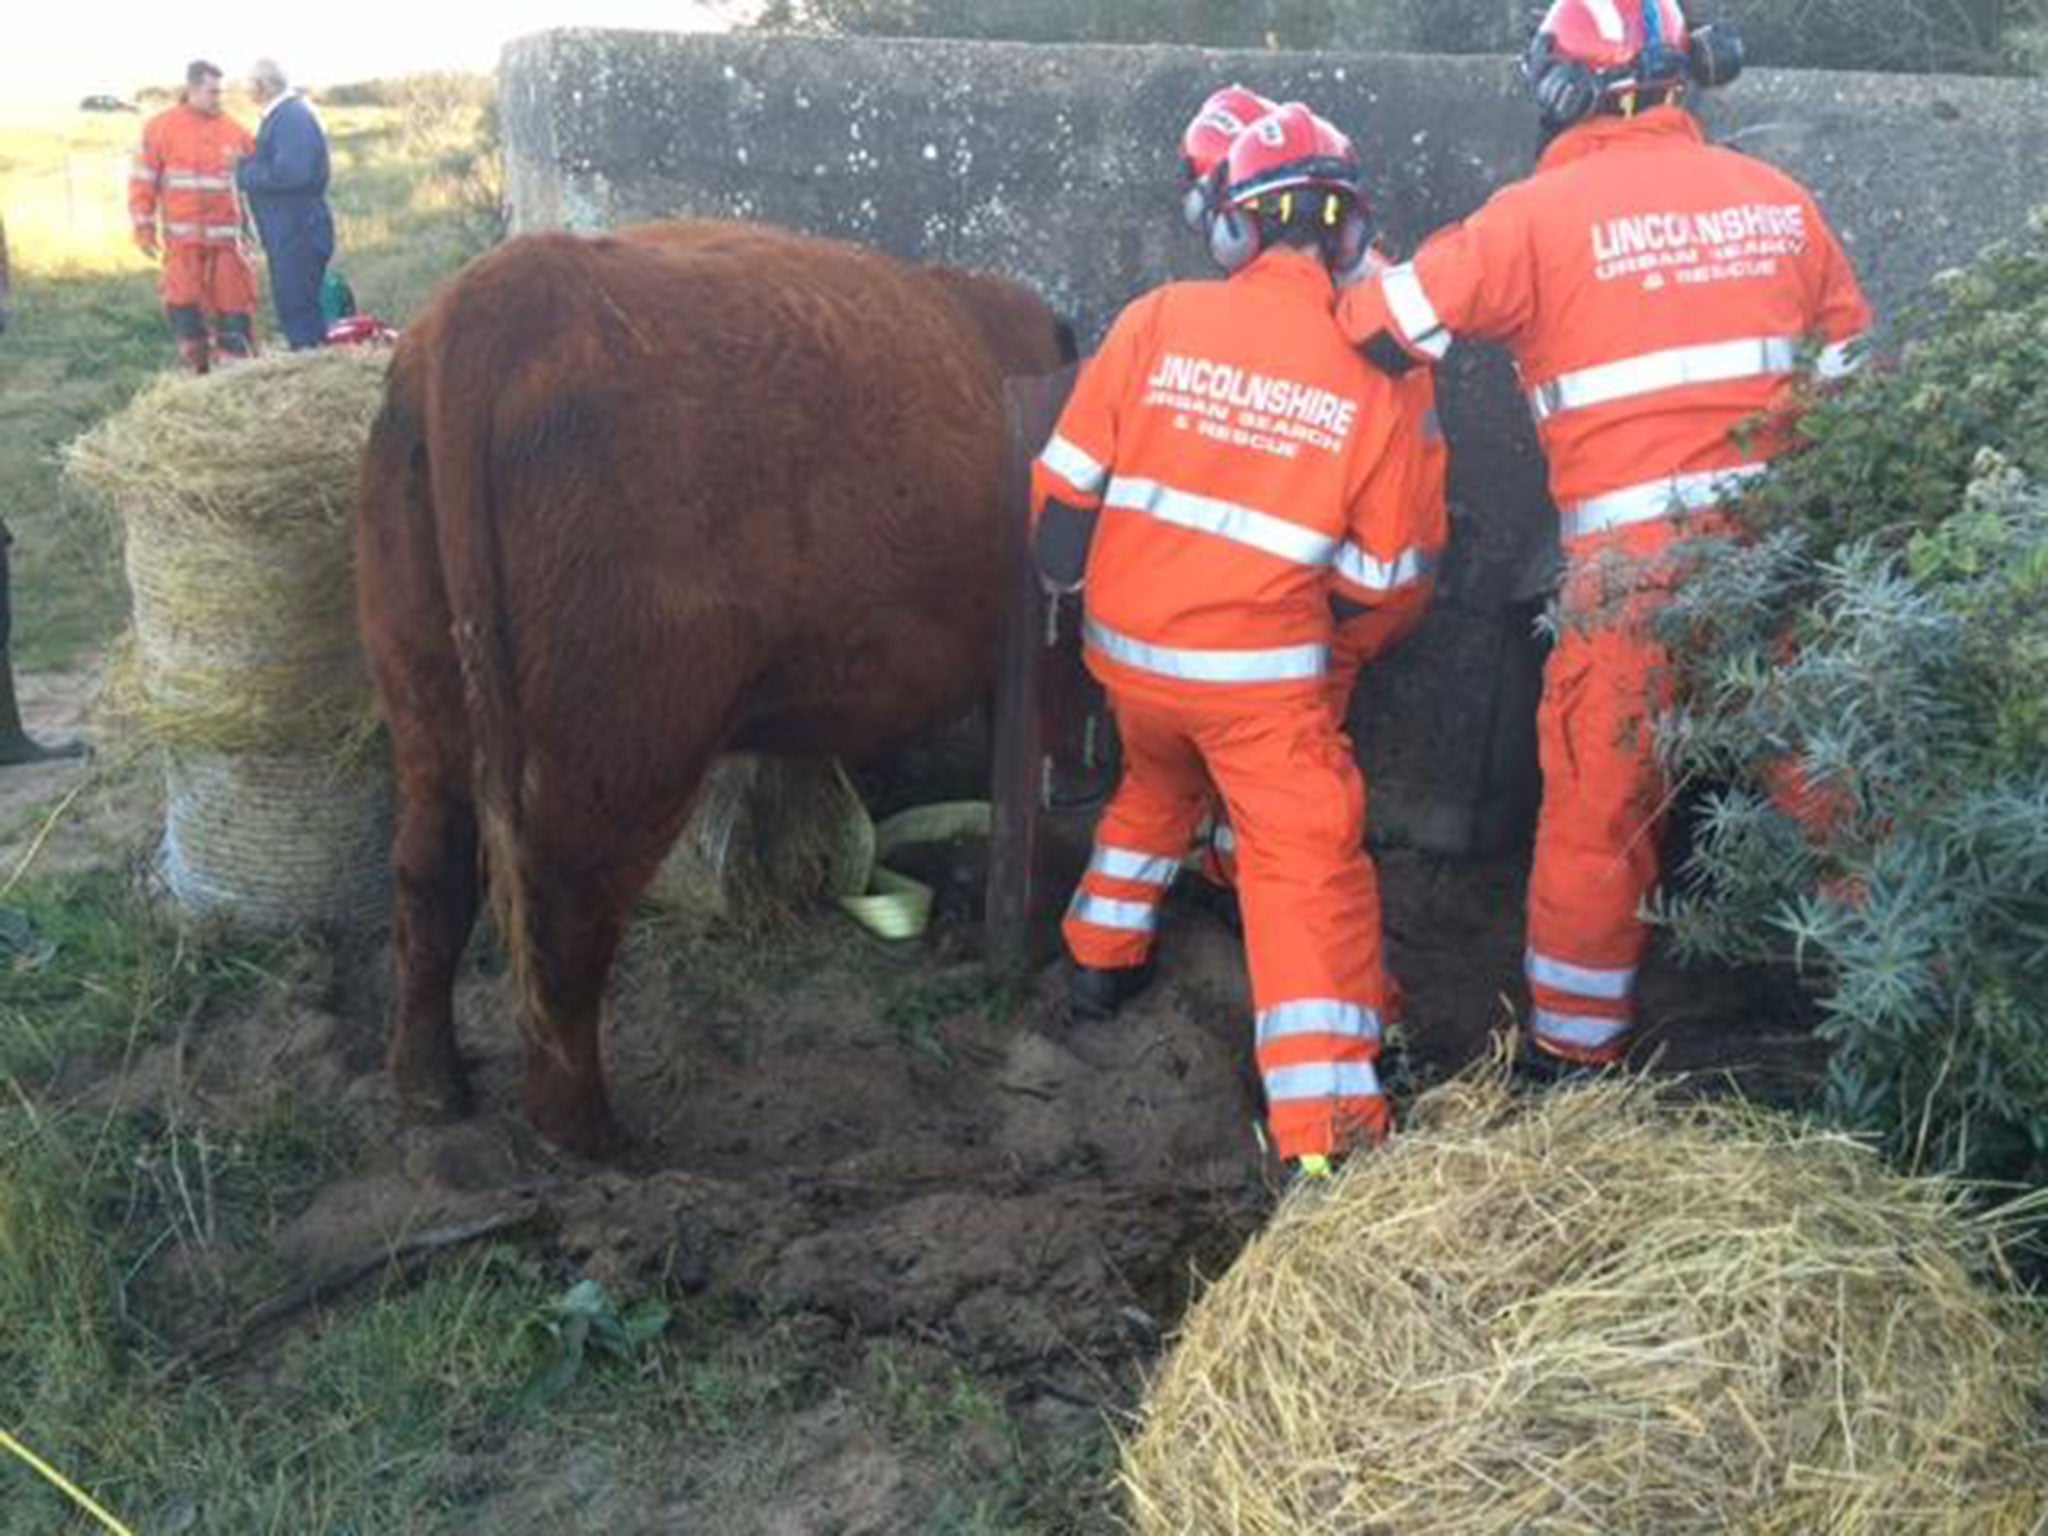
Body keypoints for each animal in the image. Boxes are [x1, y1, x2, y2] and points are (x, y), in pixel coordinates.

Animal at [358, 219, 1064, 1155]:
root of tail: (507, 292)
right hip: (625, 738)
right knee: (565, 910)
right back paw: (586, 1135)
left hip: (425, 685)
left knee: (430, 871)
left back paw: (427, 1086)